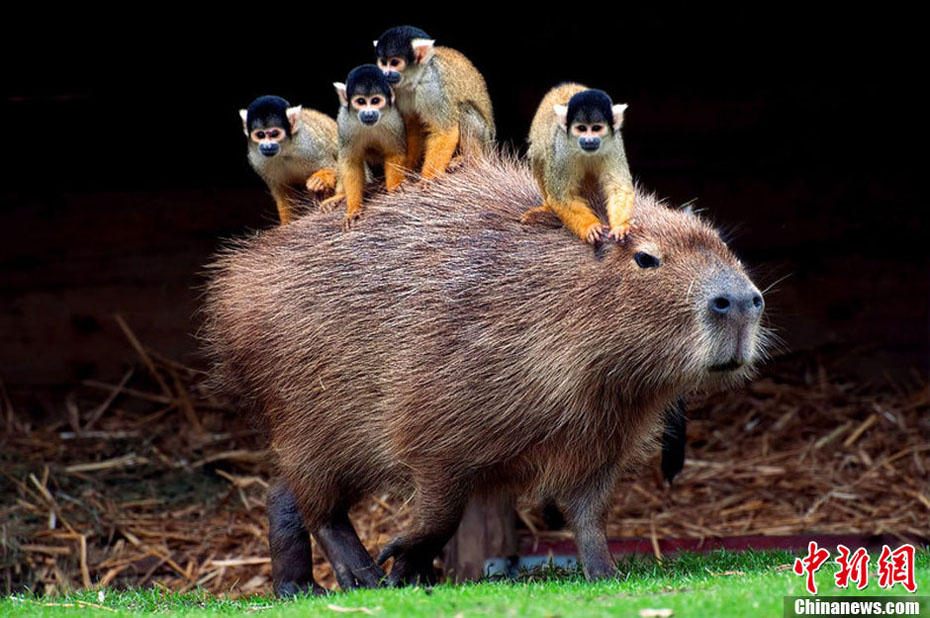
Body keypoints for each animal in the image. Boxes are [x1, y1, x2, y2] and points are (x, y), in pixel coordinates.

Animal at [239, 98, 338, 226]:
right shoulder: (257, 160)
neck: (284, 152)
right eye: (260, 134)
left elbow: (335, 167)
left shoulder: (309, 146)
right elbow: (283, 192)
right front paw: (287, 224)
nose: (267, 146)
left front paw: (319, 180)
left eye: (274, 134)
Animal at [320, 65, 404, 230]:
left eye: (375, 100)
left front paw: (394, 187)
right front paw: (353, 210)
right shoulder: (345, 122)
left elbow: (394, 153)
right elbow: (350, 163)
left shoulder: (393, 120)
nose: (369, 113)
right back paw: (341, 195)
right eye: (361, 101)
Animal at [372, 26, 492, 180]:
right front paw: (407, 168)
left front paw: (428, 179)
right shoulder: (395, 90)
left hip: (485, 140)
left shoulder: (432, 87)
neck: (415, 80)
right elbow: (413, 128)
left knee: (464, 110)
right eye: (383, 62)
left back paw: (469, 160)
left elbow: (445, 131)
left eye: (394, 63)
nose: (385, 74)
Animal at [520, 84, 636, 243]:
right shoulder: (562, 149)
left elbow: (618, 188)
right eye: (581, 128)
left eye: (596, 128)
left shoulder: (615, 144)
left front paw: (620, 226)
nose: (589, 140)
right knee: (539, 155)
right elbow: (562, 196)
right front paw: (591, 227)